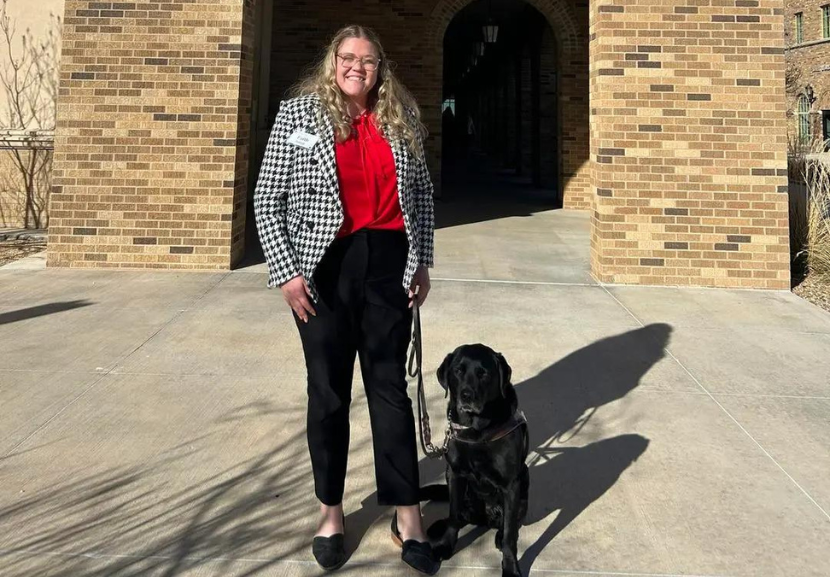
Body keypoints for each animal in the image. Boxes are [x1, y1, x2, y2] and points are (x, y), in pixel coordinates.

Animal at [428, 344, 532, 572]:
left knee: (509, 523)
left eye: (483, 373)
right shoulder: (455, 474)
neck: (476, 430)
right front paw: (445, 545)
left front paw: (510, 567)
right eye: (458, 370)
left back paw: (499, 534)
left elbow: (510, 532)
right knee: (458, 515)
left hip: (524, 480)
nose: (467, 395)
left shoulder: (511, 485)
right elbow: (453, 514)